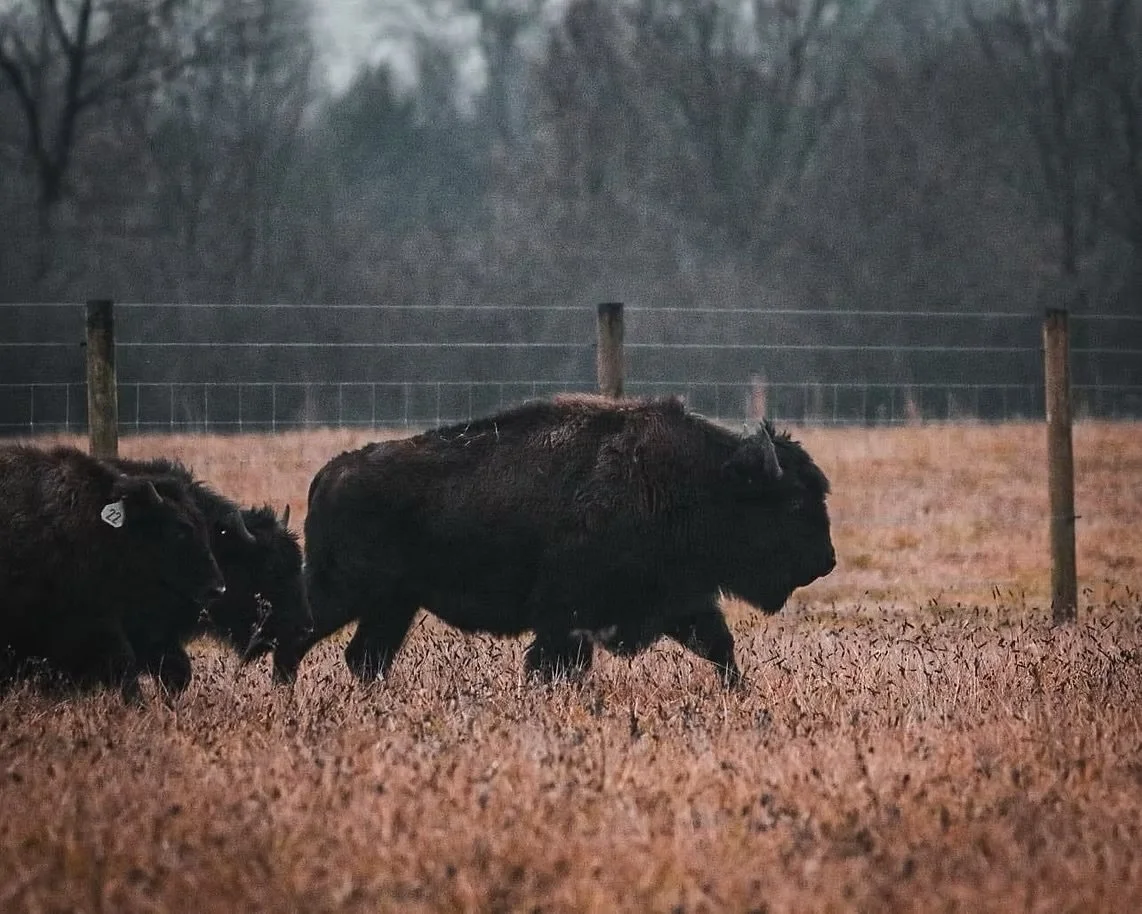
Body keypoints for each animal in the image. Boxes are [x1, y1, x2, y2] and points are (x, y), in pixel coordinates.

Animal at [278, 395, 835, 687]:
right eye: (793, 503)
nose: (825, 561)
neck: (695, 481)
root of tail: (330, 473)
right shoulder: (565, 617)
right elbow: (554, 665)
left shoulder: (682, 600)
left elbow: (720, 646)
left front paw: (739, 693)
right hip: (346, 592)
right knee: (296, 635)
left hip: (394, 604)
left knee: (364, 657)